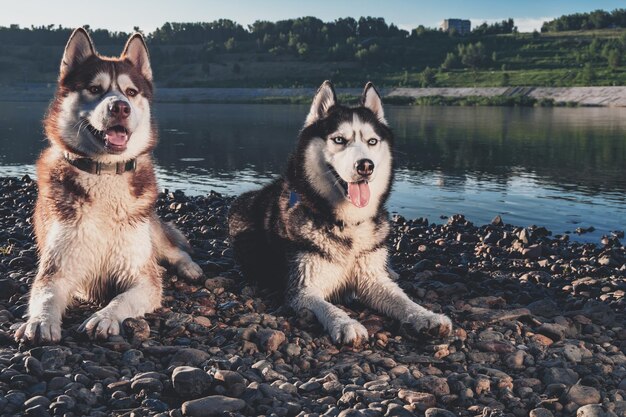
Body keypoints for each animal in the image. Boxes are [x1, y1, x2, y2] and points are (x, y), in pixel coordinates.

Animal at [14, 27, 201, 342]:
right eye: (94, 89)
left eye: (131, 92)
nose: (120, 107)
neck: (105, 174)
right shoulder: (58, 269)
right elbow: (46, 296)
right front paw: (40, 321)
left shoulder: (142, 275)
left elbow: (123, 298)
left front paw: (105, 317)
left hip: (152, 233)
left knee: (175, 250)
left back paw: (190, 267)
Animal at [227, 81, 450, 344]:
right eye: (340, 139)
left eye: (372, 141)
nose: (365, 166)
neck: (347, 223)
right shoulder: (303, 288)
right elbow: (327, 306)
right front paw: (346, 323)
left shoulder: (371, 278)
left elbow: (403, 300)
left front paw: (426, 316)